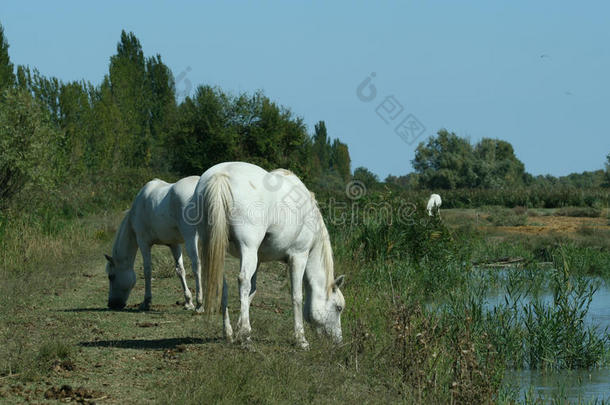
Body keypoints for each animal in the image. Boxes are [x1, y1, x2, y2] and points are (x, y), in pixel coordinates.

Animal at [102, 175, 202, 310]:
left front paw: (146, 301)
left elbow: (147, 271)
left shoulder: (143, 243)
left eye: (111, 276)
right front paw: (188, 302)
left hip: (191, 238)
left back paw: (200, 304)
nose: (111, 304)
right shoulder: (174, 244)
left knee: (197, 265)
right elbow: (180, 270)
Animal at [188, 161, 344, 348]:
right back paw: (245, 336)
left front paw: (240, 326)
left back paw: (229, 333)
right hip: (248, 248)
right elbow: (296, 296)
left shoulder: (258, 260)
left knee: (223, 284)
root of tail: (220, 175)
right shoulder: (298, 257)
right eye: (339, 308)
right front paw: (301, 339)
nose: (339, 341)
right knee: (243, 280)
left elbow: (252, 292)